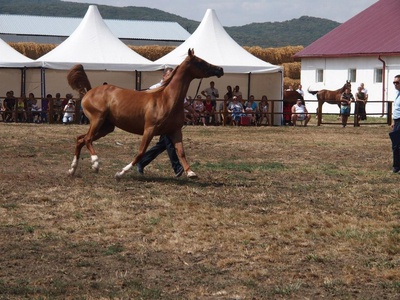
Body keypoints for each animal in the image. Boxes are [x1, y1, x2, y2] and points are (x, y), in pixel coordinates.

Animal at [65, 48, 222, 179]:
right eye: (200, 62)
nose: (220, 69)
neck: (167, 100)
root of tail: (89, 92)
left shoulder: (175, 131)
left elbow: (181, 152)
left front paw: (190, 173)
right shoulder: (149, 129)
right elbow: (140, 152)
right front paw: (120, 173)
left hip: (106, 127)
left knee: (80, 139)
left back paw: (72, 170)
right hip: (97, 119)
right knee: (87, 139)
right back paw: (95, 164)